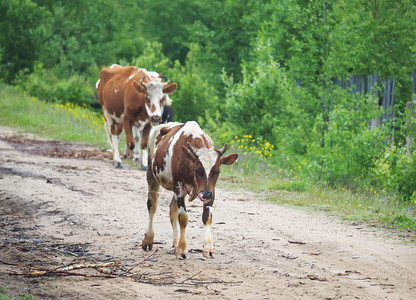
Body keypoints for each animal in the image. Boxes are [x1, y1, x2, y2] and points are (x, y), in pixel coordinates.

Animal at [142, 121, 237, 258]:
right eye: (197, 169)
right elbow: (183, 217)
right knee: (152, 206)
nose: (205, 194)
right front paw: (182, 249)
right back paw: (149, 240)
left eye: (217, 171)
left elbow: (207, 216)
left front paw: (208, 247)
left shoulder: (211, 191)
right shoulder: (179, 186)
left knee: (172, 209)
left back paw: (175, 243)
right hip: (151, 173)